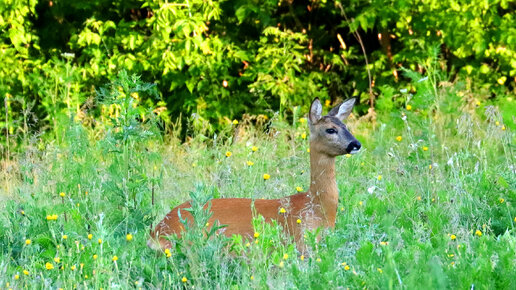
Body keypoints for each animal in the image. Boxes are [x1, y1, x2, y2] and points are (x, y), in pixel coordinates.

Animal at [147, 97, 360, 251]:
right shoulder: (301, 242)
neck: (316, 207)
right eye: (330, 130)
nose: (356, 144)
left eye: (346, 127)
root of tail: (155, 233)